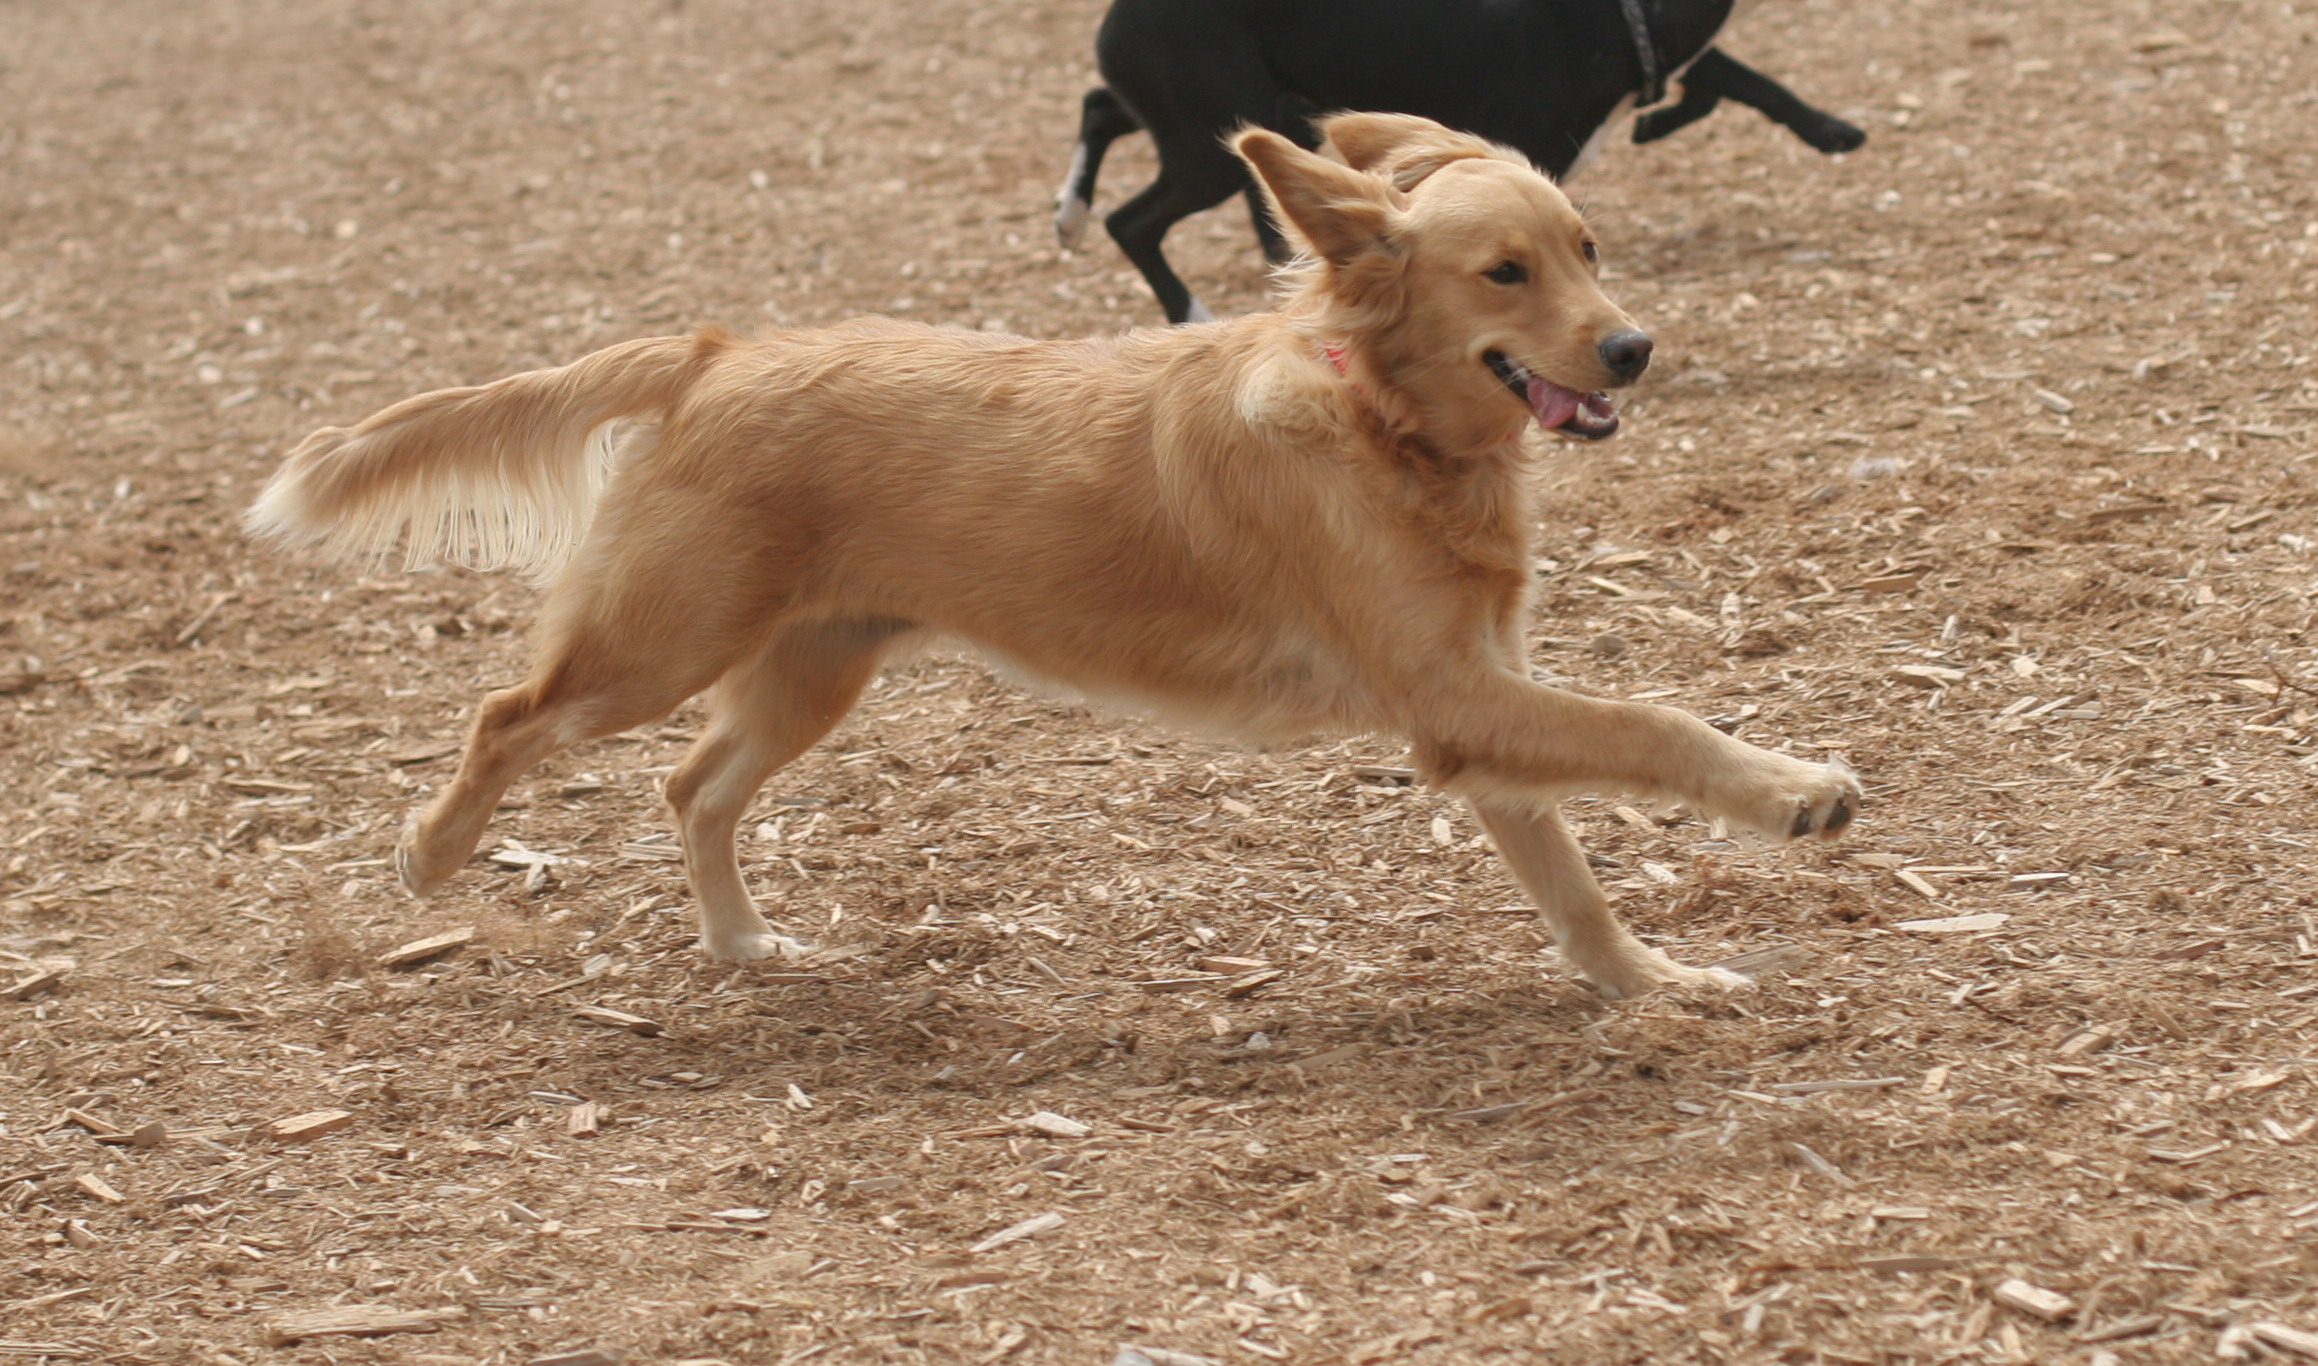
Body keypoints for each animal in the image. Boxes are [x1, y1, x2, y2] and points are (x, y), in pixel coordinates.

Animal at [249, 113, 1859, 1000]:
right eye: (1505, 272)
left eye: (1588, 246)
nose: (1634, 347)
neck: (1379, 421)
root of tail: (715, 354)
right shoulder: (1458, 697)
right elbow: (1653, 723)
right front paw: (1791, 791)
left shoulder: (1474, 715)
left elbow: (1574, 882)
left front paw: (1651, 983)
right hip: (661, 640)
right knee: (505, 714)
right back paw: (432, 852)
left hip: (811, 670)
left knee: (689, 784)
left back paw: (745, 944)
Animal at [1056, 0, 1869, 323]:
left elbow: (1735, 78)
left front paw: (1832, 129)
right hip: (1210, 147)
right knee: (1134, 221)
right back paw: (1179, 301)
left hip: (1211, 117)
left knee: (1098, 107)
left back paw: (1069, 211)